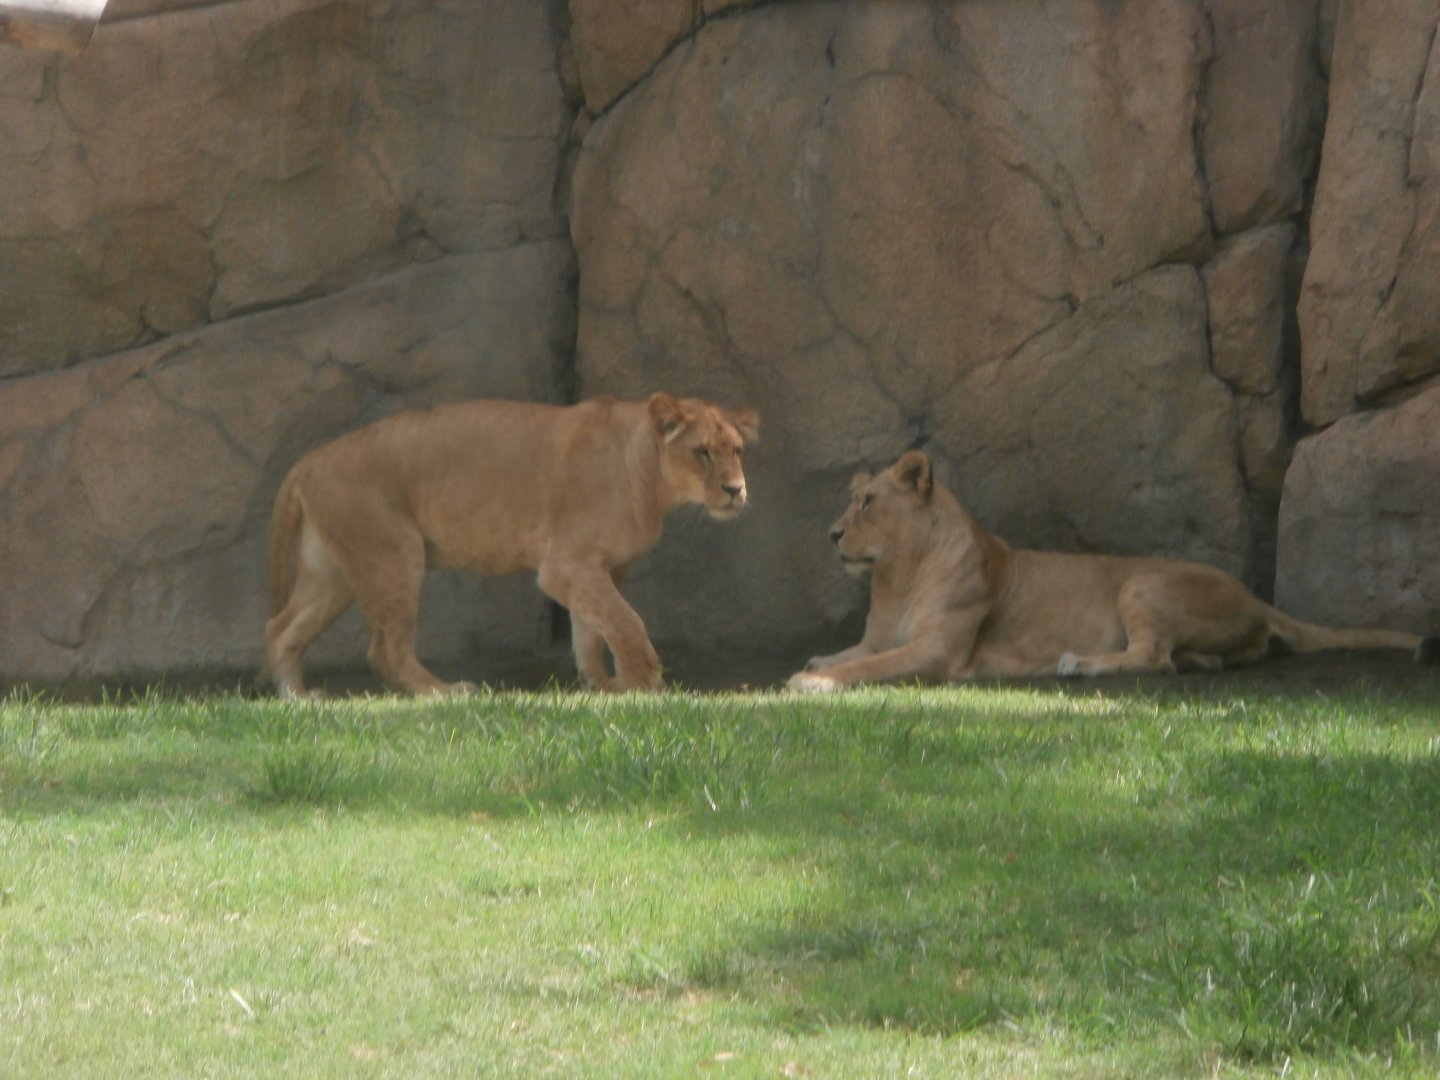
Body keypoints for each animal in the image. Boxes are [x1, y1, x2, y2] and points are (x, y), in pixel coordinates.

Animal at [265, 393, 759, 697]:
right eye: (702, 452)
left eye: (736, 450)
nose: (736, 490)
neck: (648, 476)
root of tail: (309, 461)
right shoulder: (567, 564)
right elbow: (625, 622)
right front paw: (646, 684)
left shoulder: (595, 569)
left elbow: (591, 631)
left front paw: (603, 685)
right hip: (393, 554)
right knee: (385, 650)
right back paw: (444, 692)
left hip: (332, 574)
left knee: (282, 629)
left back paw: (300, 698)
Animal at [789, 450, 1434, 691]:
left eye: (868, 503)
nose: (831, 535)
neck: (897, 576)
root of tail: (1256, 599)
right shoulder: (881, 634)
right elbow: (854, 653)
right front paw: (817, 664)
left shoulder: (939, 651)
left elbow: (872, 666)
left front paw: (813, 682)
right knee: (1181, 659)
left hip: (1140, 582)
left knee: (1151, 657)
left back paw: (1081, 664)